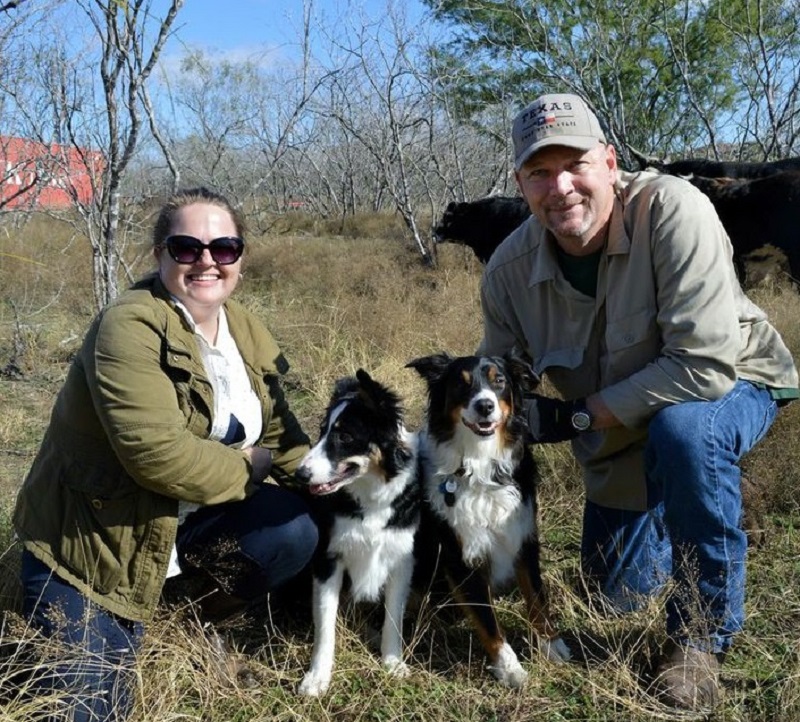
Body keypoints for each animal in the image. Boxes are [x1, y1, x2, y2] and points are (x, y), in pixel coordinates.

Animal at [292, 368, 418, 696]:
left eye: (345, 436)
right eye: (322, 431)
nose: (300, 475)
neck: (370, 498)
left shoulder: (402, 560)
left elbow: (393, 617)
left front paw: (392, 662)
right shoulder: (328, 559)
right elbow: (325, 624)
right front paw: (318, 677)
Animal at [406, 352, 568, 688]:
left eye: (499, 380)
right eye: (460, 383)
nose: (485, 406)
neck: (479, 465)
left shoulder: (523, 537)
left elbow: (537, 598)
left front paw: (552, 644)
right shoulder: (460, 556)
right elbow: (487, 618)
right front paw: (510, 668)